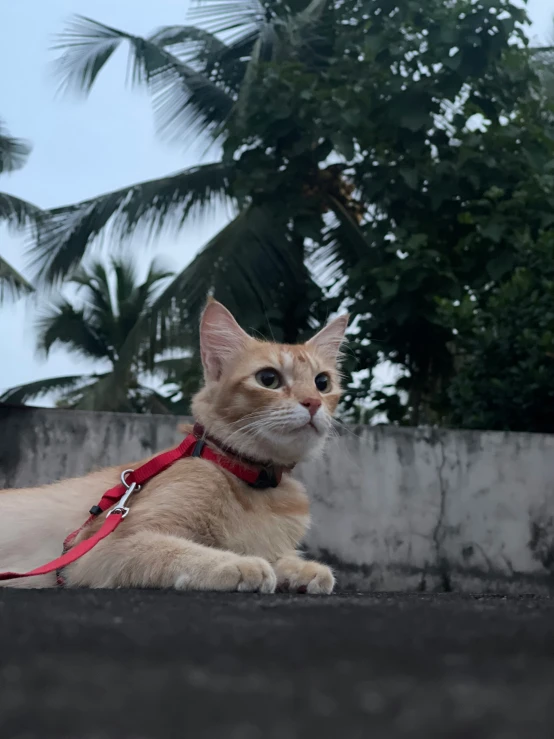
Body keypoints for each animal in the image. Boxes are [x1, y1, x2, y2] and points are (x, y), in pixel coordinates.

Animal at [0, 298, 344, 592]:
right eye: (268, 379)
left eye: (322, 383)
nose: (313, 402)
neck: (256, 484)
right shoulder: (96, 551)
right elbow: (177, 551)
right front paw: (239, 564)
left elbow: (279, 556)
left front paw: (301, 570)